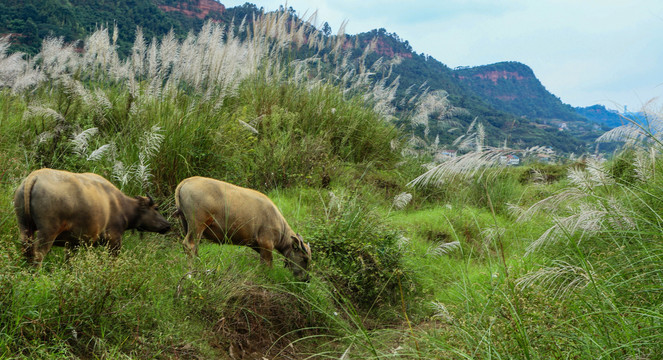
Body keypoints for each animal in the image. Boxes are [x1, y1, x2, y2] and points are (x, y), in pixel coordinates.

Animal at [13, 168, 171, 264]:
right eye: (156, 208)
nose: (168, 225)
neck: (119, 204)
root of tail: (33, 178)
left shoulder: (72, 243)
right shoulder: (114, 239)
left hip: (24, 228)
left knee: (26, 251)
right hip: (47, 232)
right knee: (37, 255)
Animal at [175, 177, 312, 282]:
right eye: (304, 259)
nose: (306, 279)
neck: (278, 221)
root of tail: (187, 181)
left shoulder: (257, 245)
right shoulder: (266, 243)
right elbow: (268, 264)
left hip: (188, 226)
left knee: (195, 248)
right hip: (197, 225)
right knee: (190, 245)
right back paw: (191, 275)